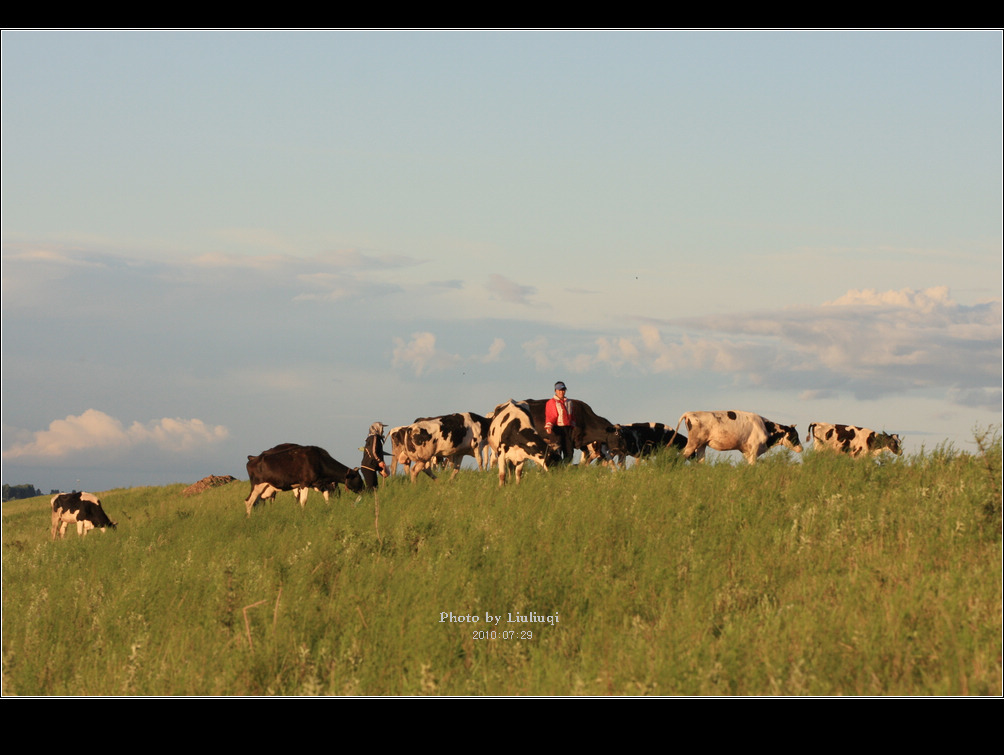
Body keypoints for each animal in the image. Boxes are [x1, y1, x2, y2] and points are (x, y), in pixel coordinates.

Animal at [670, 409, 803, 463]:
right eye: (795, 435)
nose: (801, 448)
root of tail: (690, 413)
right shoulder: (754, 451)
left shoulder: (746, 452)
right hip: (693, 443)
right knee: (680, 457)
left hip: (701, 445)